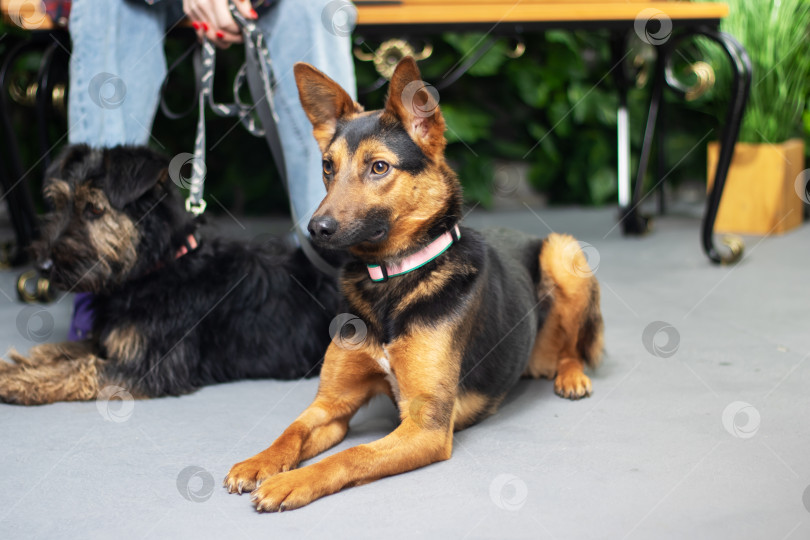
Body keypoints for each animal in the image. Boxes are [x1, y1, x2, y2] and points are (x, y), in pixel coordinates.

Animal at [0, 146, 340, 402]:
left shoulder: (154, 366)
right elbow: (67, 350)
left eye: (94, 210)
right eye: (59, 204)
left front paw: (20, 380)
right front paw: (20, 364)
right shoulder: (113, 342)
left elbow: (82, 368)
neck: (156, 269)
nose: (43, 265)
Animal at [224, 58, 604, 510]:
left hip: (562, 252)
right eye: (327, 167)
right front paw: (259, 462)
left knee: (574, 346)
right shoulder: (331, 405)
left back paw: (571, 376)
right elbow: (292, 430)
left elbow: (353, 454)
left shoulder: (427, 425)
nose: (316, 229)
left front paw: (292, 481)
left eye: (379, 167)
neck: (392, 278)